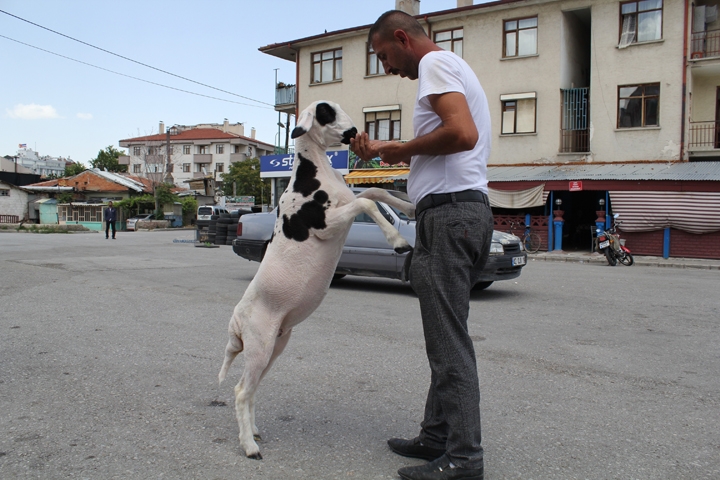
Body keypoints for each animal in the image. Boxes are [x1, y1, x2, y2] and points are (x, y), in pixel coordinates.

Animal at [217, 100, 414, 458]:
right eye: (326, 113)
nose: (355, 133)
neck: (315, 175)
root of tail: (235, 324)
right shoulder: (328, 224)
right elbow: (367, 201)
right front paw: (398, 240)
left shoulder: (347, 203)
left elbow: (374, 191)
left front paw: (410, 206)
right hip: (259, 346)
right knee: (240, 391)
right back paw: (249, 446)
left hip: (274, 346)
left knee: (251, 389)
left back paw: (254, 432)